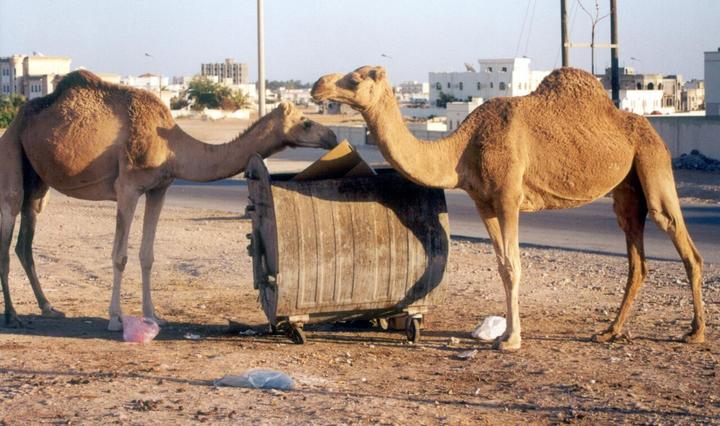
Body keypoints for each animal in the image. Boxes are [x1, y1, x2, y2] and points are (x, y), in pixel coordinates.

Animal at [0, 69, 338, 330]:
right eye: (306, 122)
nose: (332, 137)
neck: (173, 147)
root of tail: (18, 117)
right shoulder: (128, 188)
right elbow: (120, 256)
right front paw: (115, 319)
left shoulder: (158, 188)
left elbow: (147, 255)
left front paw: (153, 316)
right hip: (12, 148)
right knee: (11, 217)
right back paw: (14, 316)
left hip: (38, 181)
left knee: (25, 239)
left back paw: (47, 307)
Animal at [310, 65, 704, 350]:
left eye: (356, 78)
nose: (317, 85)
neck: (462, 149)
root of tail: (646, 126)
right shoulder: (483, 202)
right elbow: (501, 266)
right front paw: (502, 333)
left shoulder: (508, 197)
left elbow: (514, 265)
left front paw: (511, 340)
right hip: (626, 187)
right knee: (635, 251)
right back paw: (610, 331)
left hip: (652, 157)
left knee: (677, 234)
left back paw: (694, 332)